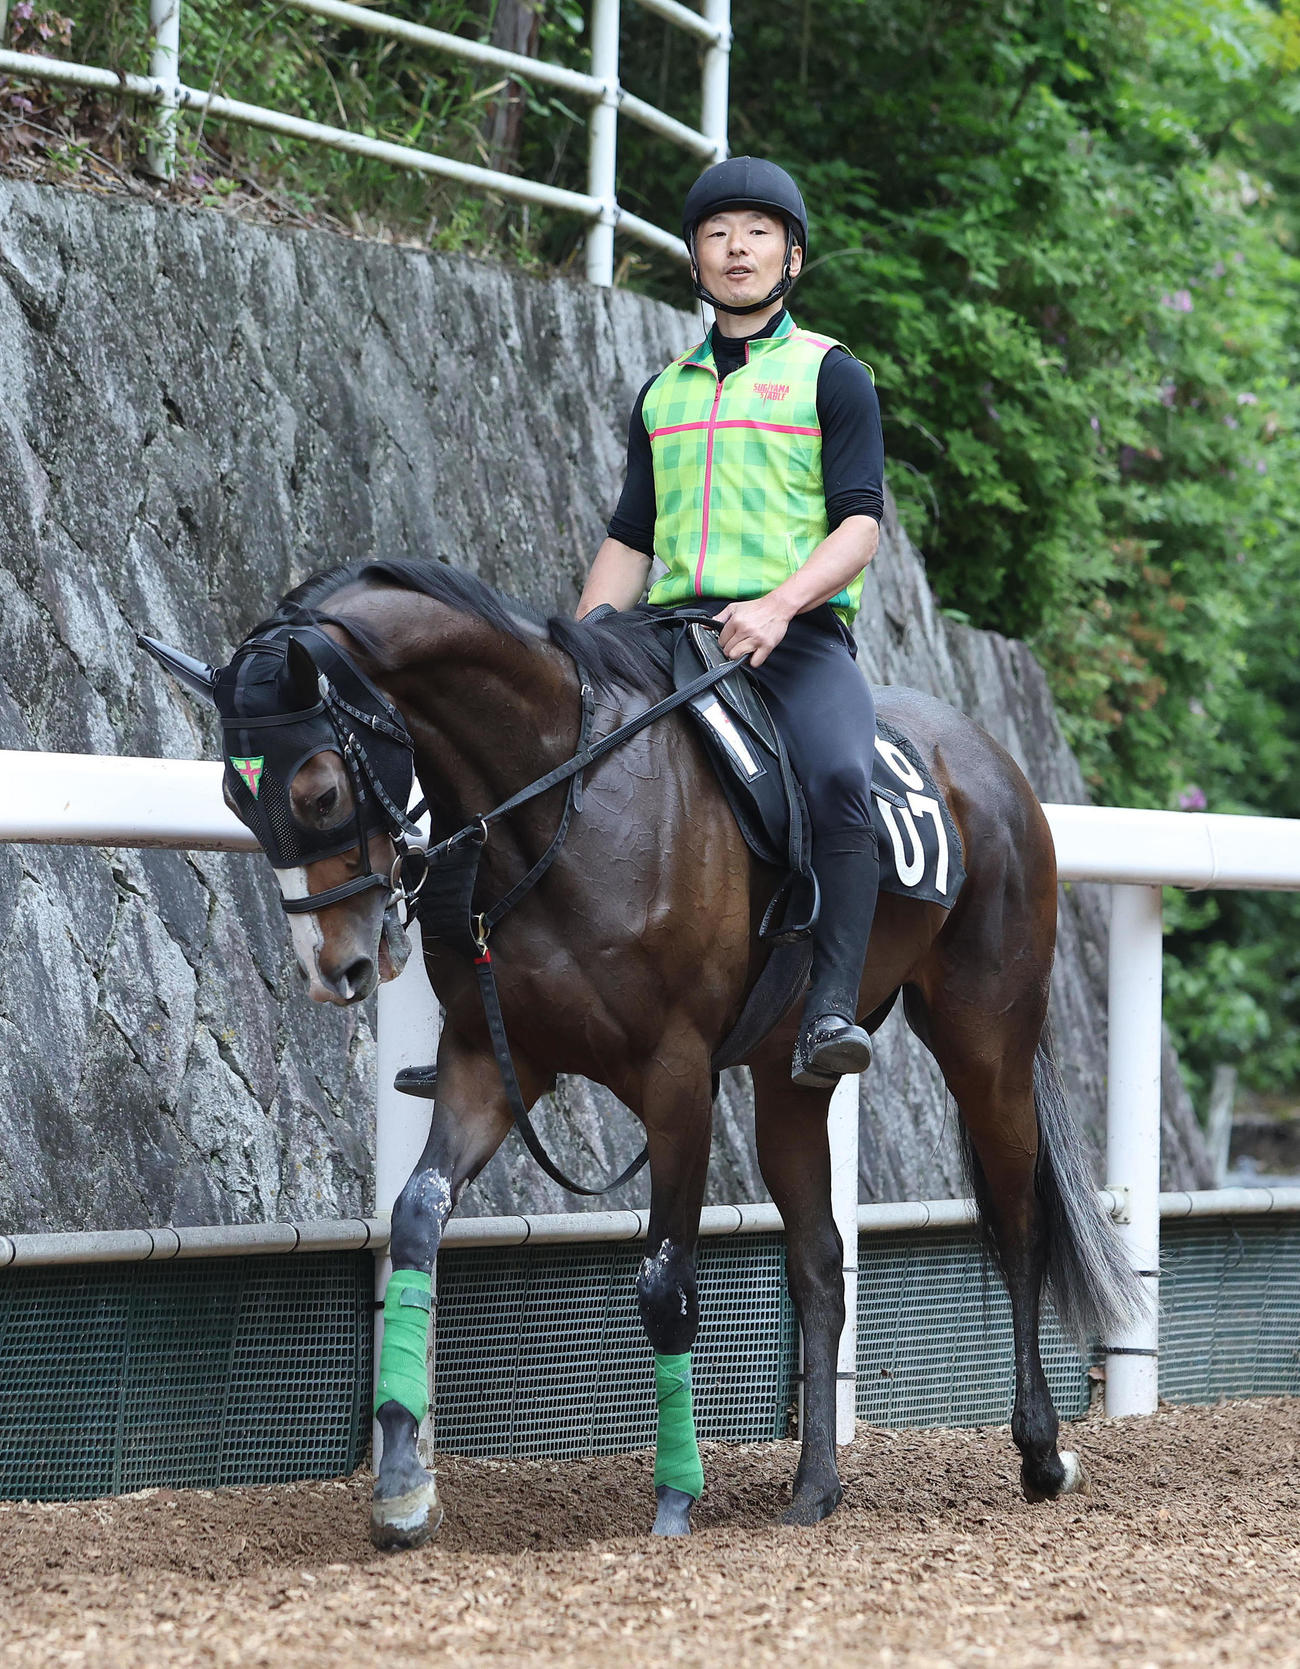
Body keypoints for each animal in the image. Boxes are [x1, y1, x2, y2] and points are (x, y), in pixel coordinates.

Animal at [139, 555, 1140, 1550]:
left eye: (318, 790)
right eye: (234, 798)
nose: (334, 967)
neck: (560, 806)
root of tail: (992, 762)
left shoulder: (677, 1078)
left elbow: (666, 1280)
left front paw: (674, 1499)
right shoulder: (491, 1060)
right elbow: (418, 1216)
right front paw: (400, 1485)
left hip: (987, 1041)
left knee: (1019, 1223)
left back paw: (1041, 1451)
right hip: (787, 1083)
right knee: (820, 1262)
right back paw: (816, 1485)